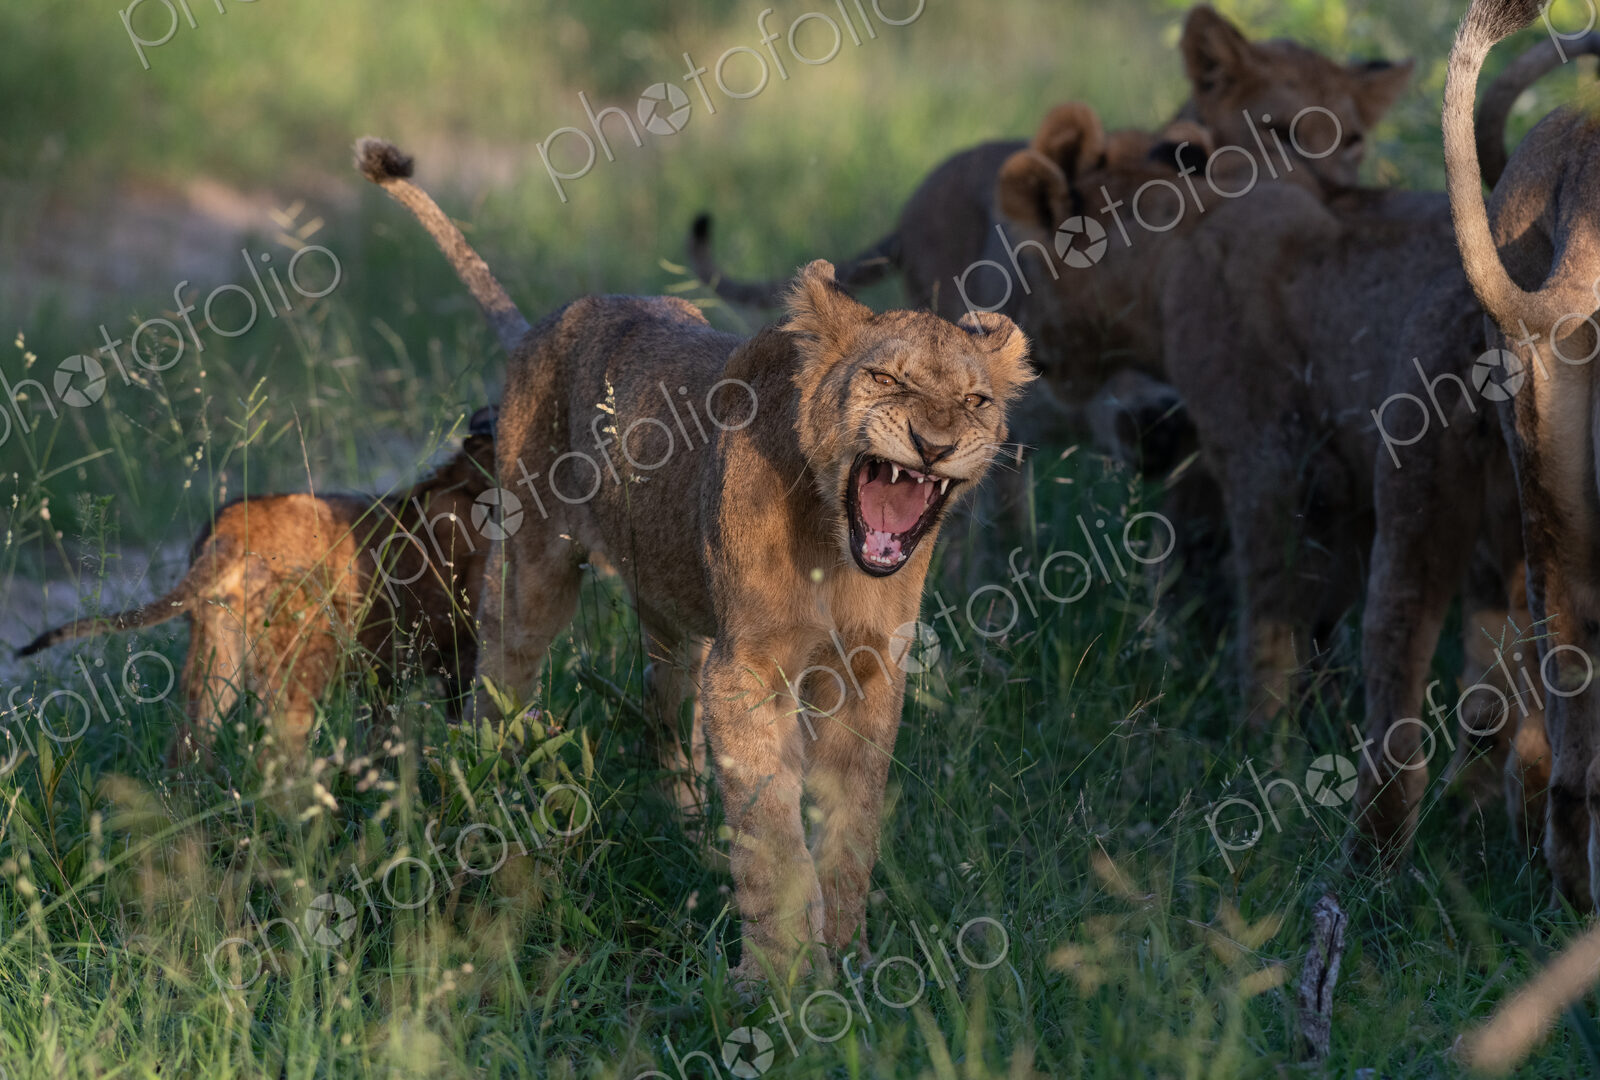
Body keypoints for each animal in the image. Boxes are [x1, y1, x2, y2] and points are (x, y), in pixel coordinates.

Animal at [16, 417, 497, 760]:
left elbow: (382, 737)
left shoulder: (386, 674)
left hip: (216, 651)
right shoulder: (459, 654)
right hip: (300, 658)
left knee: (187, 742)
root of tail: (231, 526)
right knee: (279, 748)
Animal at [356, 138, 1033, 981]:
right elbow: (773, 831)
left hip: (677, 619)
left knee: (662, 712)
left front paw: (850, 955)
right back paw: (489, 802)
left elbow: (852, 823)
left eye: (977, 403)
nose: (934, 445)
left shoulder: (869, 670)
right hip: (534, 572)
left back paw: (690, 834)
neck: (834, 545)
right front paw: (785, 975)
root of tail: (551, 319)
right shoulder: (747, 670)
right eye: (885, 378)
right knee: (501, 681)